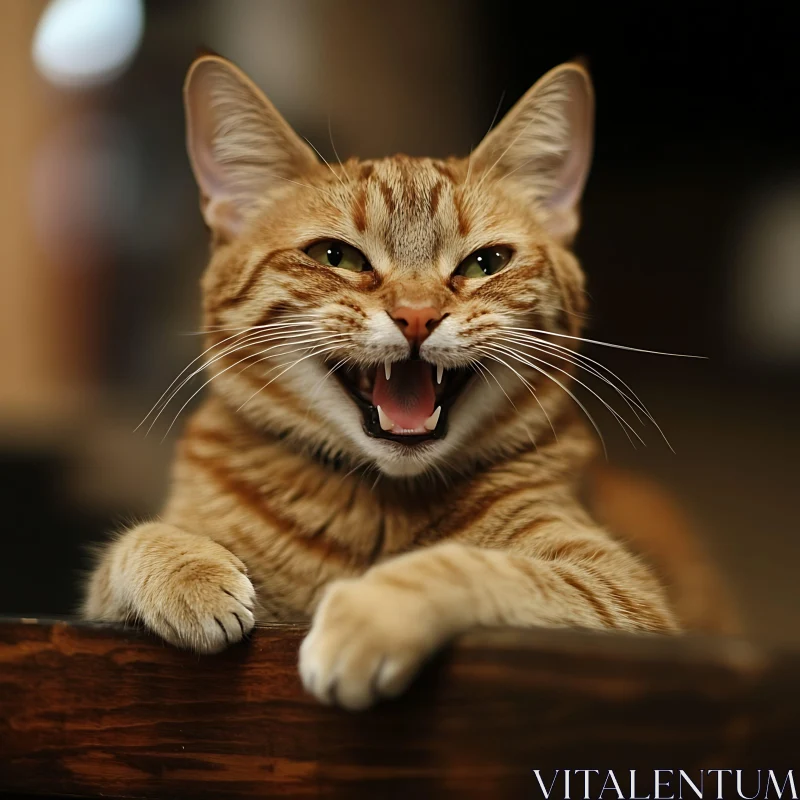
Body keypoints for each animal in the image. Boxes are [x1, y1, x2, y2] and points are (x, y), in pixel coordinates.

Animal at [83, 53, 732, 708]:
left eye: (485, 263)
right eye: (337, 257)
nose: (417, 316)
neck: (378, 508)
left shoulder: (625, 600)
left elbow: (481, 566)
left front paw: (371, 610)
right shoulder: (93, 607)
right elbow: (130, 547)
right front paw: (187, 569)